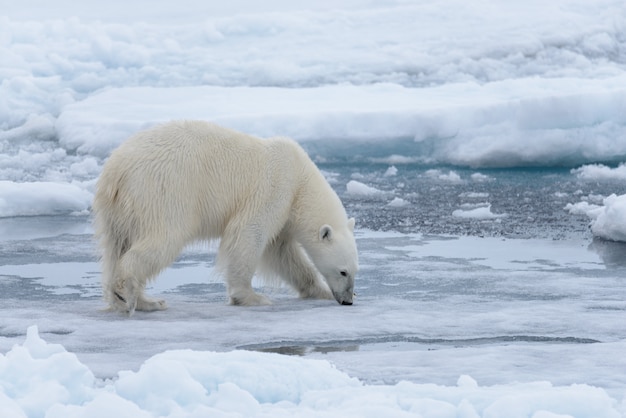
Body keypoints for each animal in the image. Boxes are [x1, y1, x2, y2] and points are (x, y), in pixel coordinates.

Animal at [92, 120, 356, 314]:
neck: (301, 180)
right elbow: (249, 233)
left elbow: (282, 253)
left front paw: (318, 290)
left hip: (118, 211)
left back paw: (141, 301)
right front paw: (252, 297)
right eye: (343, 271)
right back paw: (131, 294)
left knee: (116, 247)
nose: (348, 301)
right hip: (163, 191)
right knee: (162, 239)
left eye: (356, 270)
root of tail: (116, 170)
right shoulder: (274, 189)